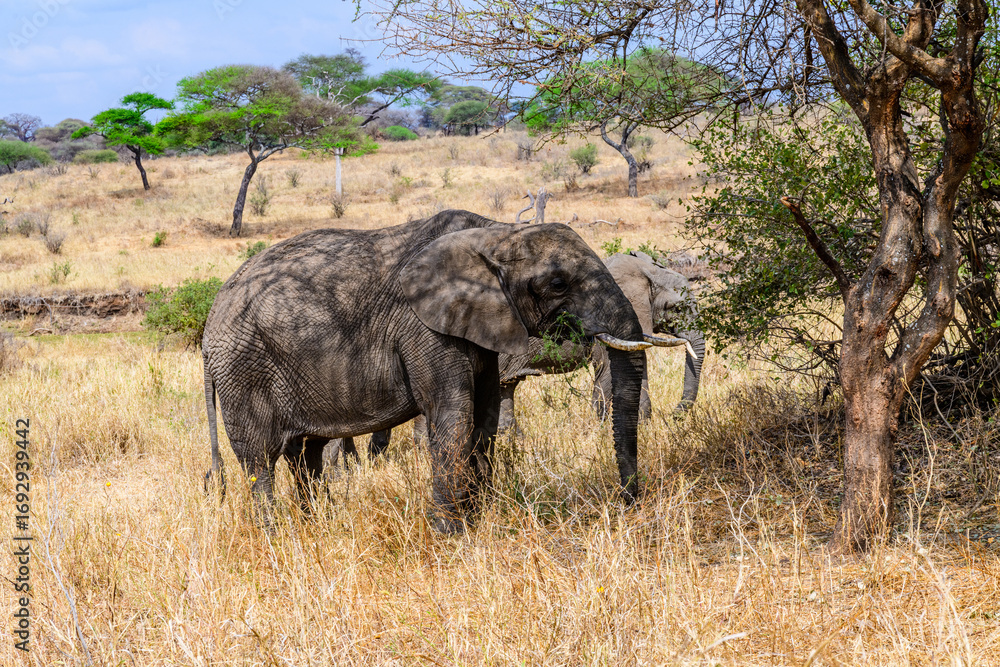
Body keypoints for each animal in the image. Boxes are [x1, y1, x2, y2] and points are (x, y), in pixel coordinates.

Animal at [203, 210, 663, 533]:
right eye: (558, 283)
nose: (628, 503)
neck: (495, 233)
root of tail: (211, 320)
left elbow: (484, 418)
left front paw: (481, 518)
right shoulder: (424, 326)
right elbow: (453, 416)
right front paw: (451, 534)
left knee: (305, 455)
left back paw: (319, 525)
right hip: (243, 369)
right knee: (260, 461)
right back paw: (276, 537)